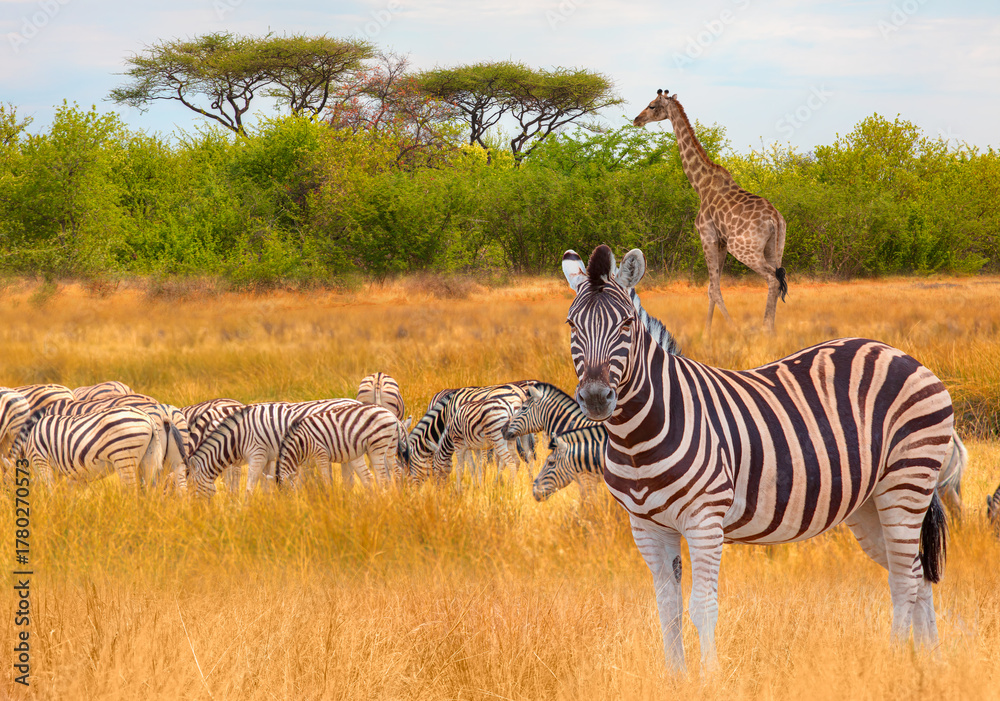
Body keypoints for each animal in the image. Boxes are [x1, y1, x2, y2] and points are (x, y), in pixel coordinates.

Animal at [10, 407, 165, 489]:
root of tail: (148, 418)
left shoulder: (42, 462)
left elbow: (50, 492)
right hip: (147, 457)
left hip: (123, 457)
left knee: (131, 490)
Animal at [189, 399, 357, 498]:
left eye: (193, 487)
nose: (196, 512)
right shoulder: (266, 458)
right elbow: (263, 488)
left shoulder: (256, 455)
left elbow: (246, 487)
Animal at [275, 403, 410, 488]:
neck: (301, 443)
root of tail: (393, 416)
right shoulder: (307, 462)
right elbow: (306, 480)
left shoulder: (321, 454)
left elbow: (325, 479)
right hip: (390, 446)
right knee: (396, 472)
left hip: (378, 446)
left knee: (382, 476)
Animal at [561, 245, 953, 671]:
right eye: (571, 325)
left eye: (627, 325)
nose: (596, 398)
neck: (638, 437)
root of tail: (898, 353)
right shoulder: (646, 526)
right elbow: (667, 608)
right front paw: (675, 678)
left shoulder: (704, 519)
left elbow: (702, 607)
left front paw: (709, 679)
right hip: (869, 502)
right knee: (916, 572)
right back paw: (930, 662)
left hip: (907, 480)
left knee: (904, 579)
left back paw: (894, 661)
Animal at [634, 89, 787, 333]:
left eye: (651, 106)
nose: (636, 120)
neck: (700, 184)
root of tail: (775, 219)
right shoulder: (721, 241)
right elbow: (711, 287)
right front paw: (707, 332)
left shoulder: (707, 235)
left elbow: (713, 288)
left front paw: (729, 329)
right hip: (775, 247)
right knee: (779, 278)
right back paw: (771, 330)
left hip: (743, 248)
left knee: (773, 279)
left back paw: (764, 329)